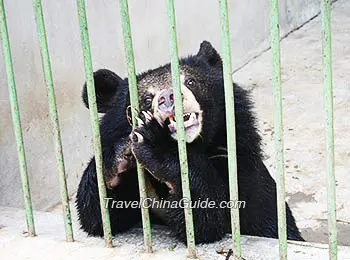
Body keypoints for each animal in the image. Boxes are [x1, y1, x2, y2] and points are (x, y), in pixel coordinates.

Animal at [76, 40, 304, 244]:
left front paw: (155, 144)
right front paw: (118, 155)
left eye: (190, 82)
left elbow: (209, 217)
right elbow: (100, 218)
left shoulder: (238, 161)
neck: (194, 145)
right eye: (147, 100)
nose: (168, 97)